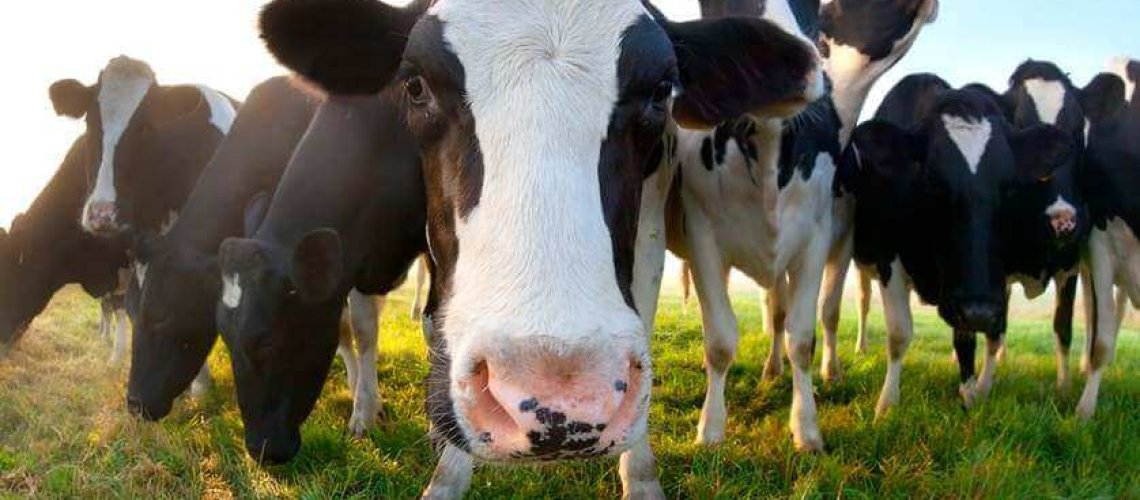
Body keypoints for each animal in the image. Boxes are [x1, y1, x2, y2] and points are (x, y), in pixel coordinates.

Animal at [216, 94, 424, 465]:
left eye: (267, 341)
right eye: (223, 337)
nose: (259, 450)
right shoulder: (355, 258)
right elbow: (359, 330)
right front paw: (364, 411)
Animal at [663, 0, 936, 452]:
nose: (785, 66)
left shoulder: (817, 240)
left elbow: (803, 335)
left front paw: (806, 428)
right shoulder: (703, 238)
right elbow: (720, 340)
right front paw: (711, 429)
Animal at [840, 74, 1076, 415]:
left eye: (1008, 187)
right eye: (932, 181)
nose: (980, 310)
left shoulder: (968, 285)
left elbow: (967, 339)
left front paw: (969, 393)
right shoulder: (889, 259)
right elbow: (899, 334)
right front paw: (887, 404)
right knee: (859, 301)